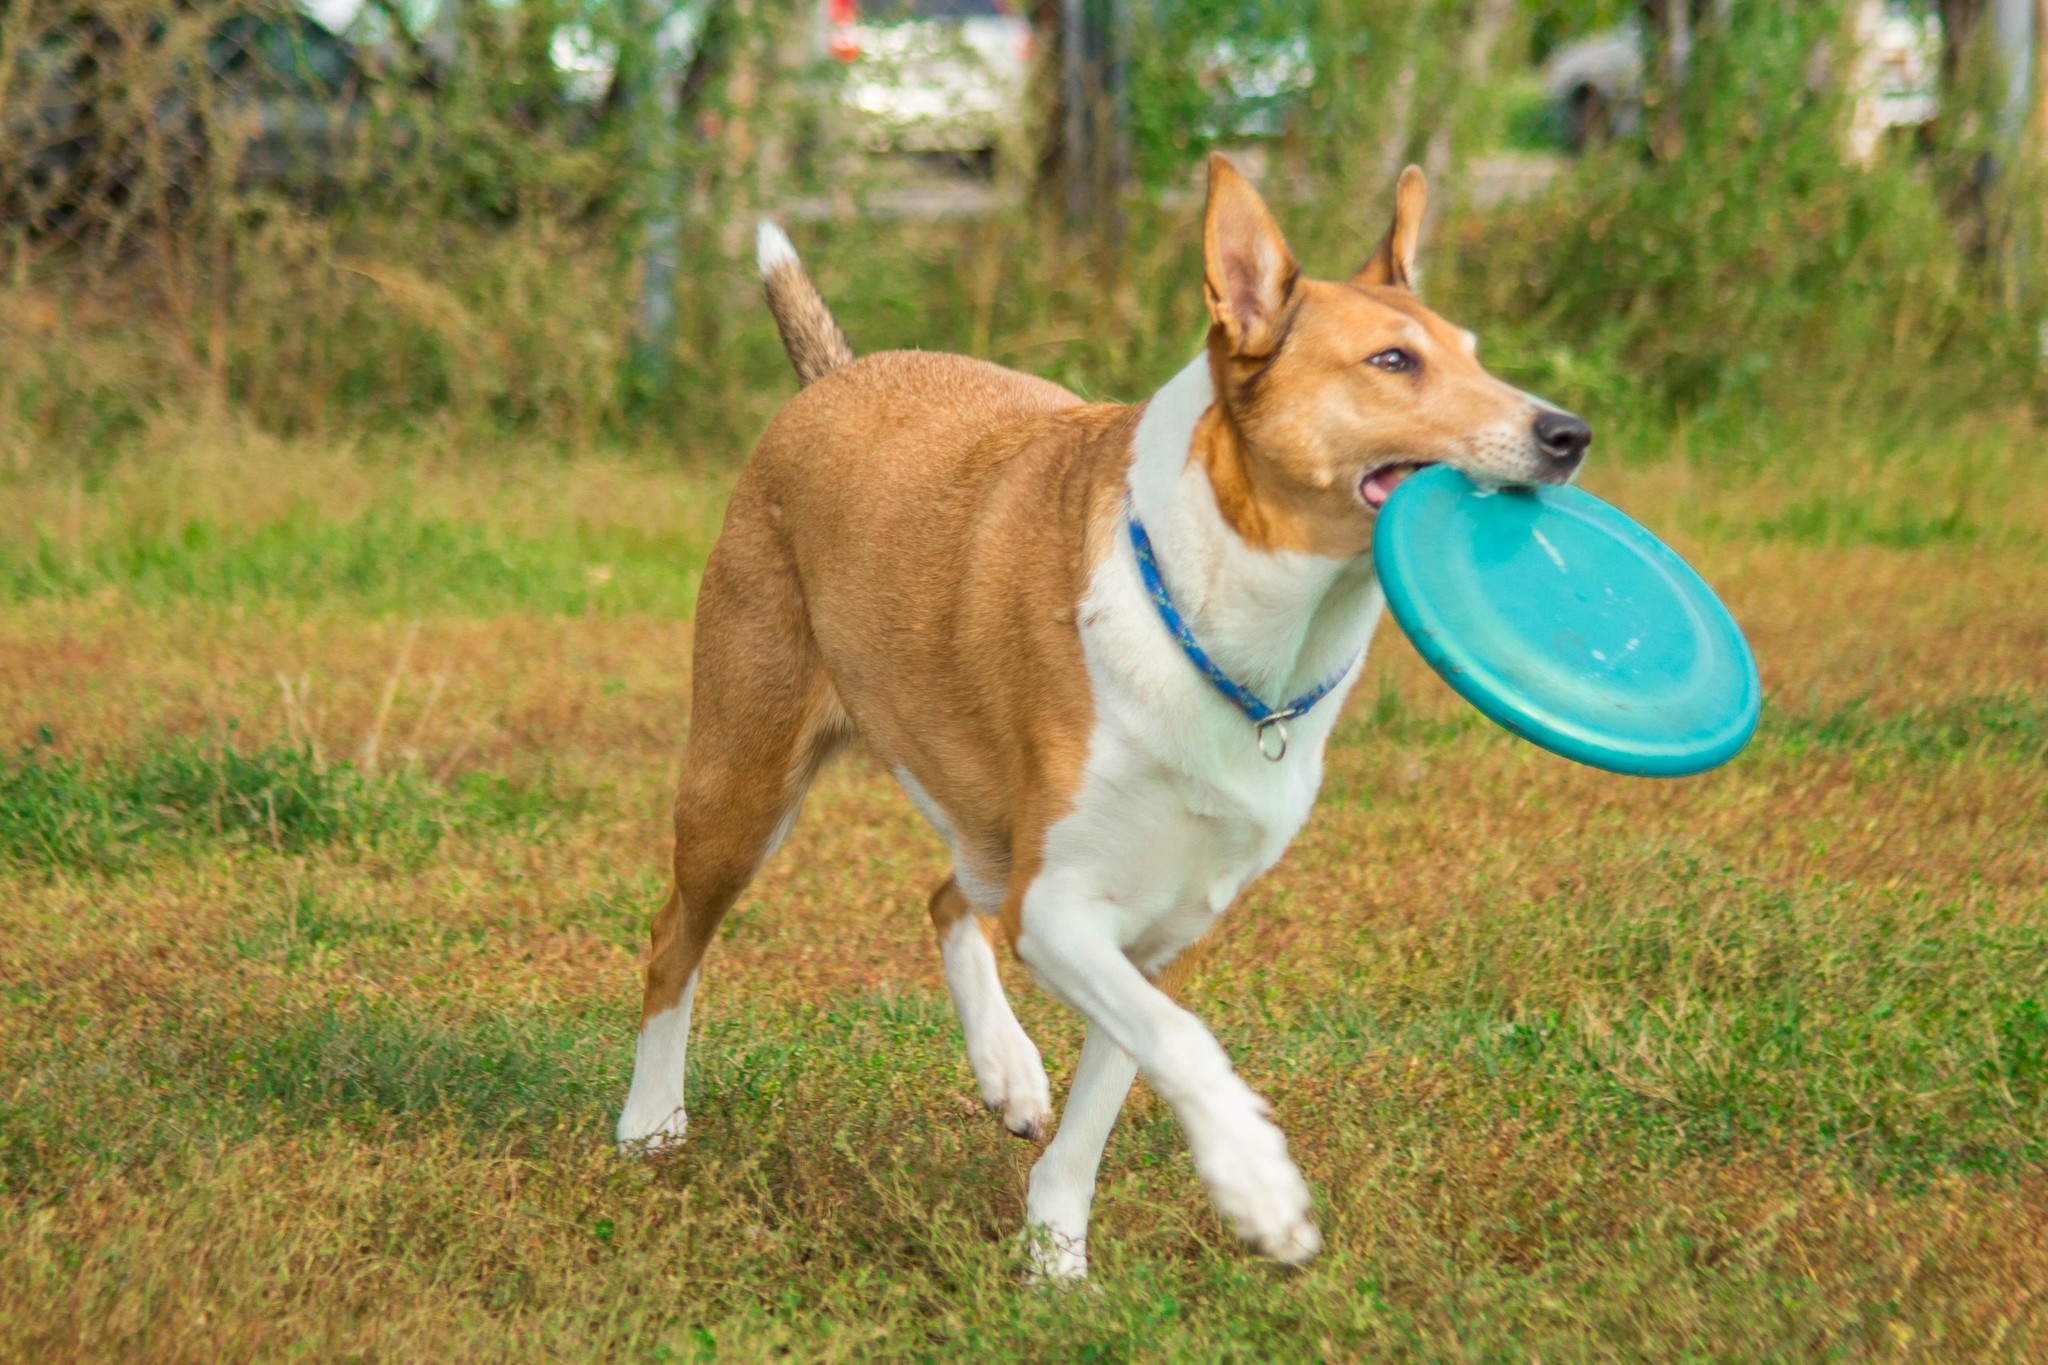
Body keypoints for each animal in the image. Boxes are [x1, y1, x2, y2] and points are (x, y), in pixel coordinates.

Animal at [614, 157, 1589, 1285]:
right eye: (1393, 361)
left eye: (1474, 353)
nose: (1568, 435)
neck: (1237, 626)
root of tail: (833, 379)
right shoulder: (1060, 906)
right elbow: (1185, 1044)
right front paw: (1260, 1187)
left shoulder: (1154, 928)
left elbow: (1109, 1095)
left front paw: (1055, 1259)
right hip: (743, 784)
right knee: (674, 940)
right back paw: (649, 1122)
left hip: (978, 814)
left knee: (946, 898)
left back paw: (1008, 1071)